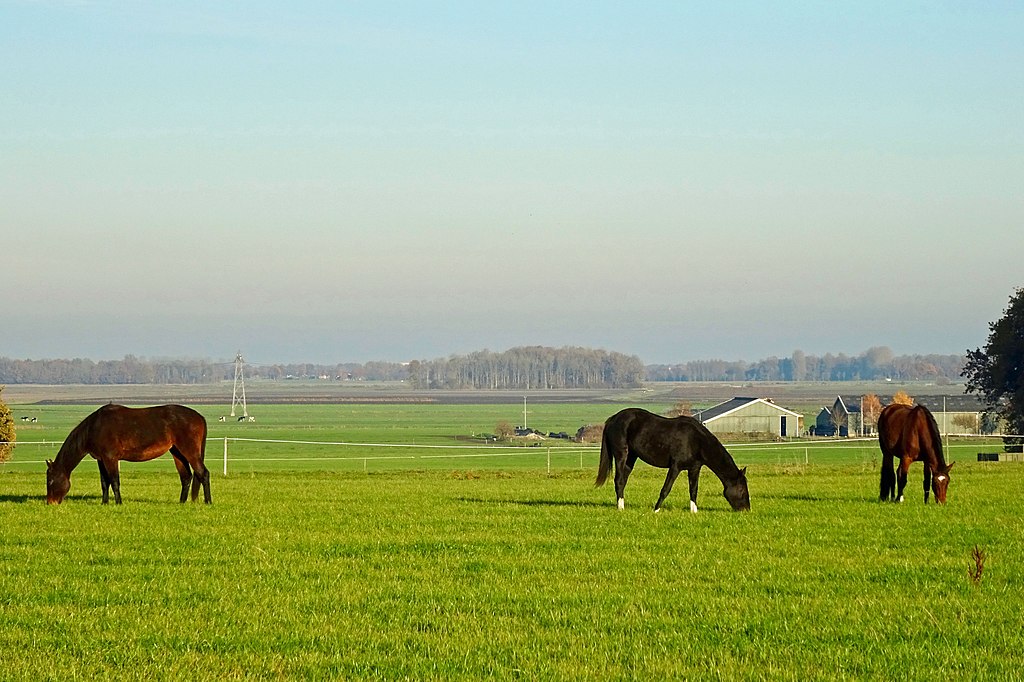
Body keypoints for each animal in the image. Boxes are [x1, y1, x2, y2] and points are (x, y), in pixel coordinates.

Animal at [47, 403, 210, 503]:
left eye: (50, 481)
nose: (50, 502)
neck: (95, 427)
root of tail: (200, 417)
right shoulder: (101, 459)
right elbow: (104, 482)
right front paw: (104, 503)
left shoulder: (110, 458)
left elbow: (114, 481)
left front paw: (118, 503)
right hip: (177, 452)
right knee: (186, 477)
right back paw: (181, 502)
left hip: (189, 451)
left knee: (203, 473)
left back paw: (208, 502)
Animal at [593, 409, 753, 509]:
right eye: (741, 489)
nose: (746, 509)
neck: (696, 440)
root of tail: (613, 419)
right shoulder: (675, 467)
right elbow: (666, 489)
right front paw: (656, 510)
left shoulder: (694, 469)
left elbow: (693, 490)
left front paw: (694, 511)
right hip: (621, 454)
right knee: (619, 480)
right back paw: (621, 509)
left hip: (631, 457)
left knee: (623, 481)